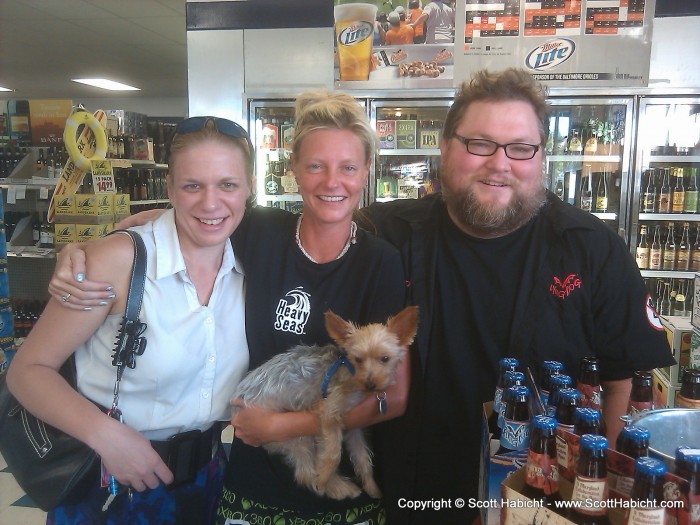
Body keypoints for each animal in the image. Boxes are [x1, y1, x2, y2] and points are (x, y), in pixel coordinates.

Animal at [232, 308, 418, 500]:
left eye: (385, 358)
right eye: (357, 359)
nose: (370, 384)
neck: (350, 374)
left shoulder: (354, 428)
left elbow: (362, 458)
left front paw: (372, 487)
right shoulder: (329, 412)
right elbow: (333, 455)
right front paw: (324, 478)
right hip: (294, 436)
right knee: (305, 473)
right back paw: (338, 487)